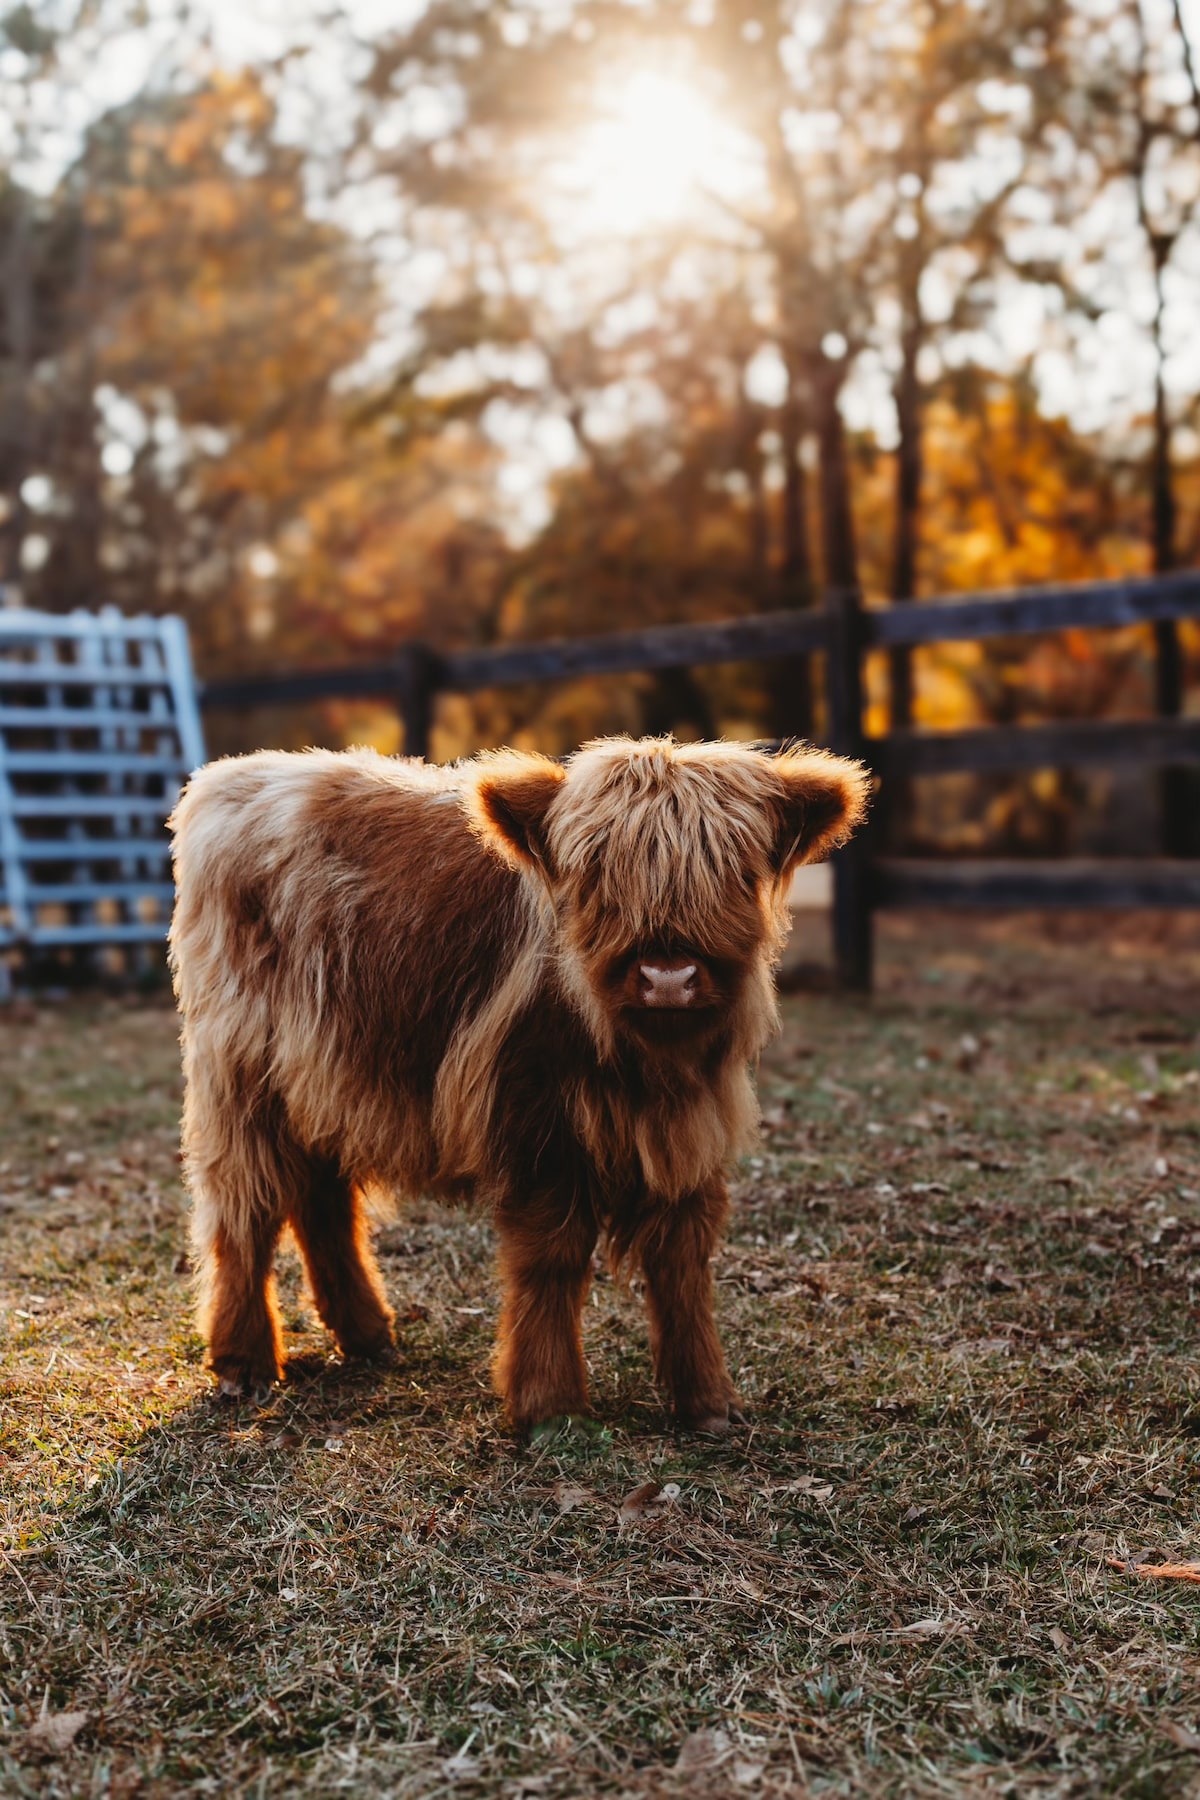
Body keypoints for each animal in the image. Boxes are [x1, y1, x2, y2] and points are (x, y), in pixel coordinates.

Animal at [166, 734, 863, 1432]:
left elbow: (683, 1262)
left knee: (321, 1199)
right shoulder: (536, 1123)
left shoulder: (692, 1133)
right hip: (240, 1073)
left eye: (736, 872)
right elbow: (551, 1258)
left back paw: (367, 1338)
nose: (668, 977)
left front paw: (709, 1403)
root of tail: (236, 776)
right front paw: (550, 1406)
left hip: (326, 1073)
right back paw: (244, 1364)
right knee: (244, 1207)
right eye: (597, 874)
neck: (649, 1073)